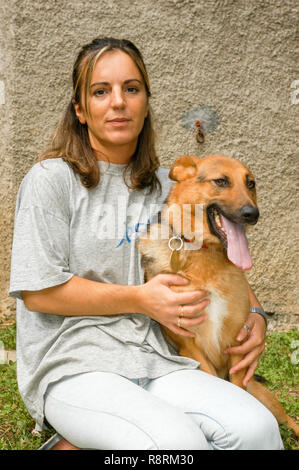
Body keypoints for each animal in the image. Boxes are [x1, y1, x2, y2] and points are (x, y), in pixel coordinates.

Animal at [138, 154, 299, 436]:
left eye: (251, 183)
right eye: (221, 181)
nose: (252, 214)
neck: (206, 253)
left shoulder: (237, 343)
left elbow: (238, 389)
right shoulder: (191, 347)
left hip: (265, 397)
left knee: (288, 419)